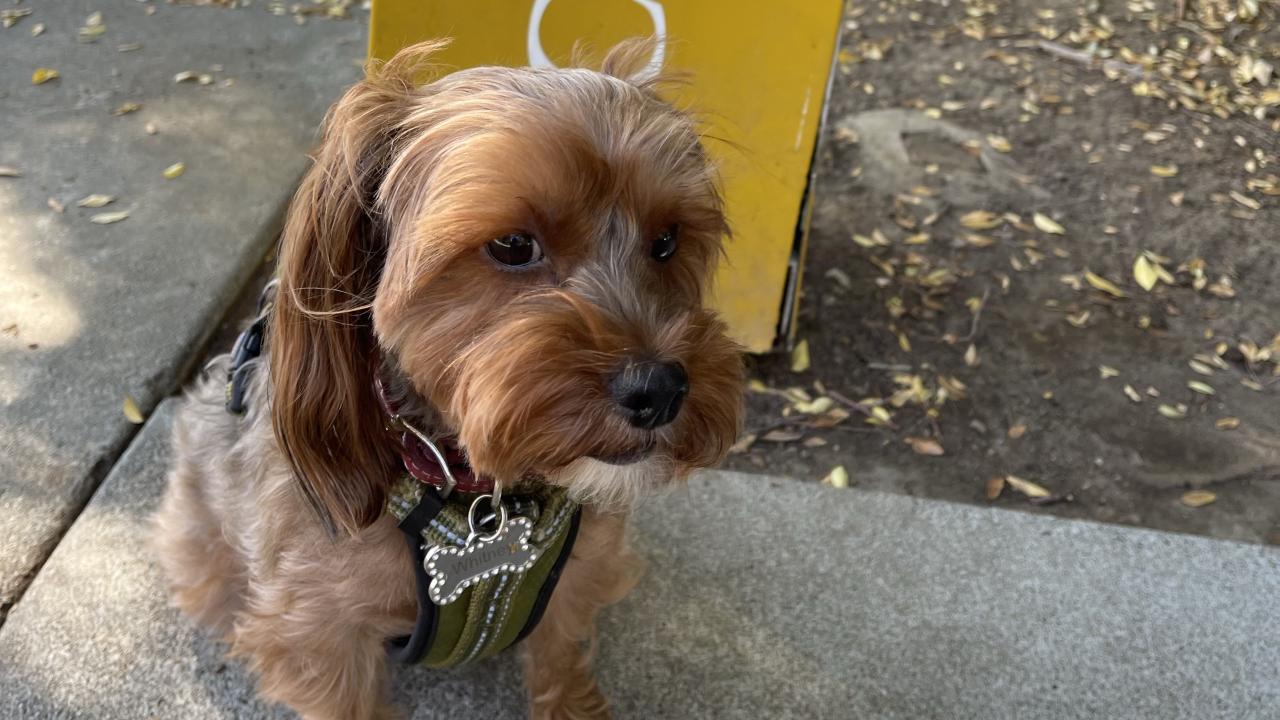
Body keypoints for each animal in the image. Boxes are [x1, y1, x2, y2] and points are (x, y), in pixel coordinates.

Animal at [153, 40, 747, 717]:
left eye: (668, 240)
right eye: (513, 244)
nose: (660, 389)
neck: (475, 492)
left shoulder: (575, 582)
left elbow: (561, 659)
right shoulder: (319, 633)